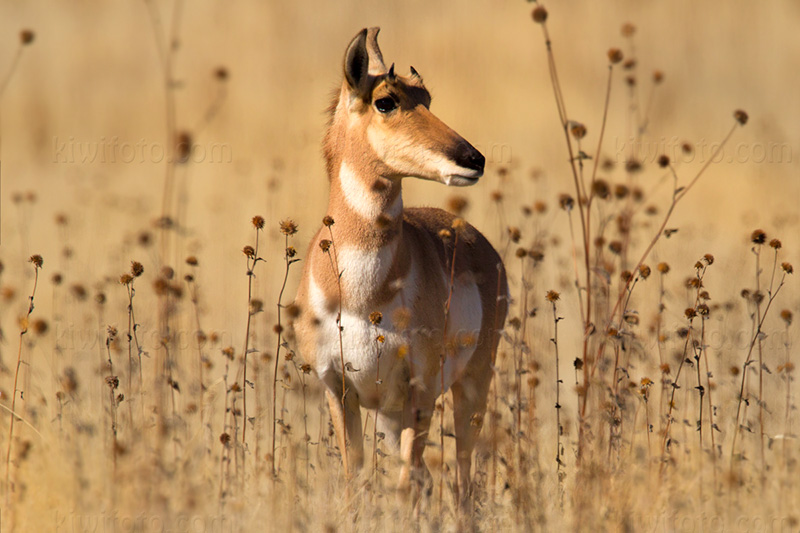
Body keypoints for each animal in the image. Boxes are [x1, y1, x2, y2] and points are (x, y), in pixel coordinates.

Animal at [292, 27, 506, 504]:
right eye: (385, 100)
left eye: (427, 96)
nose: (474, 159)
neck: (361, 297)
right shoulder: (338, 389)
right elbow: (354, 481)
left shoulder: (419, 390)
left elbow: (406, 485)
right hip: (391, 414)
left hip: (470, 387)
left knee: (461, 480)